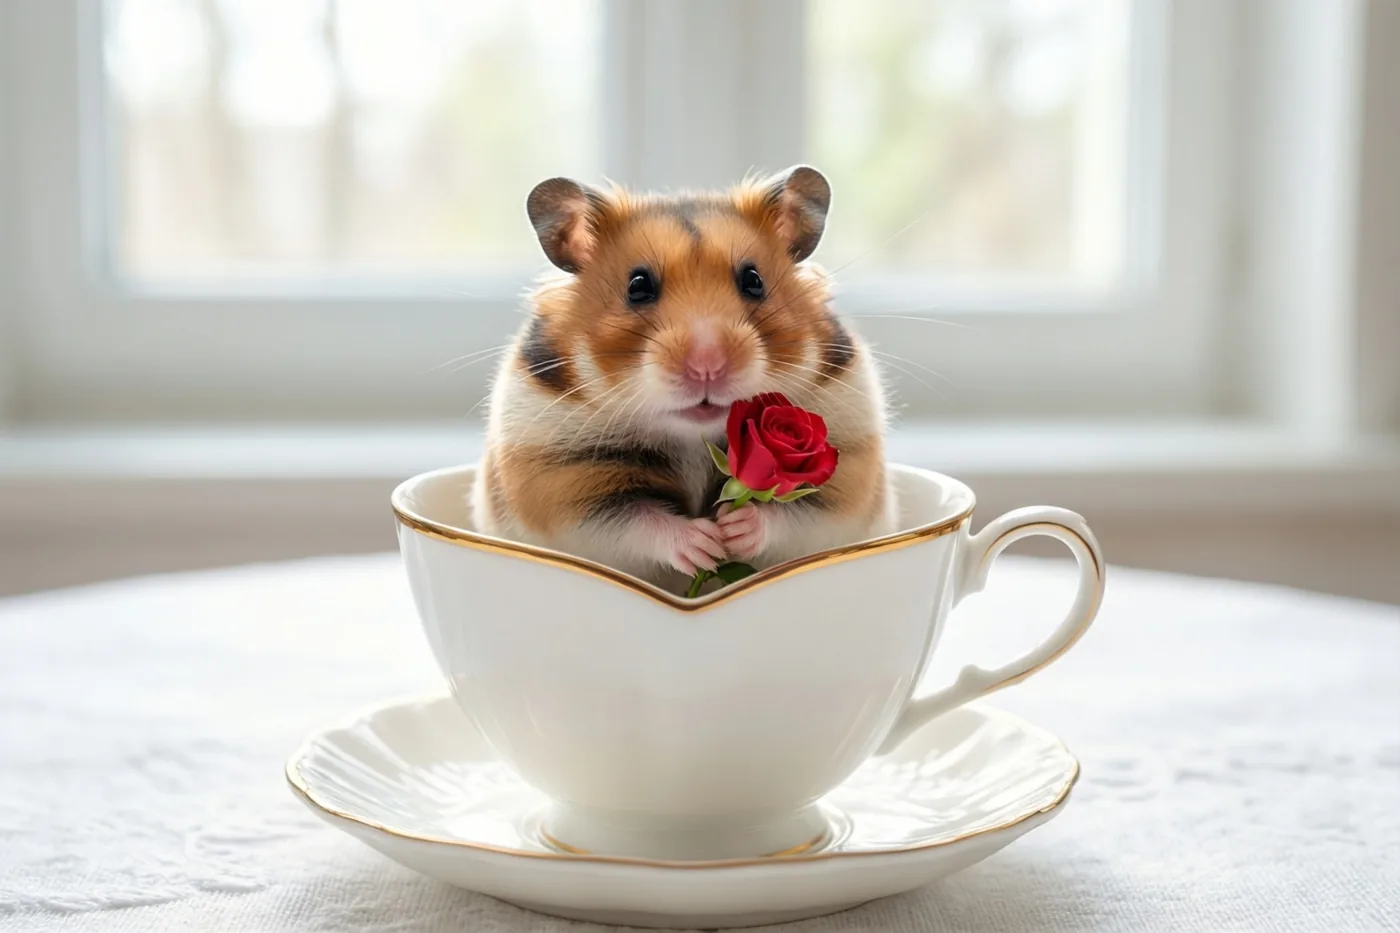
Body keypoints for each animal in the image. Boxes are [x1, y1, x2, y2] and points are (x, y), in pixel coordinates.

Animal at [472, 165, 896, 592]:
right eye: (638, 285)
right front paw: (704, 543)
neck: (693, 438)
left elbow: (792, 515)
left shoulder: (846, 476)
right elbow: (636, 521)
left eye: (754, 280)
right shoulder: (562, 485)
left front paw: (733, 529)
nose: (707, 365)